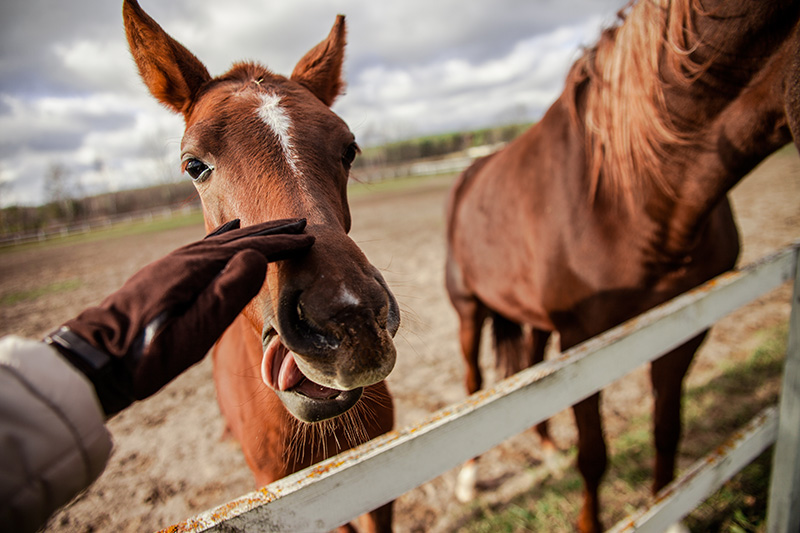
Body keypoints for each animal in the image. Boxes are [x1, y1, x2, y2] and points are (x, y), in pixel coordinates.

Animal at [446, 2, 796, 528]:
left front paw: (670, 512)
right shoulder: (582, 340)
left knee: (530, 365)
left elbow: (667, 428)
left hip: (535, 320)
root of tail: (469, 174)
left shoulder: (682, 329)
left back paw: (547, 450)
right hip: (469, 310)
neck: (633, 195)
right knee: (474, 382)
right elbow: (594, 454)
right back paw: (468, 481)